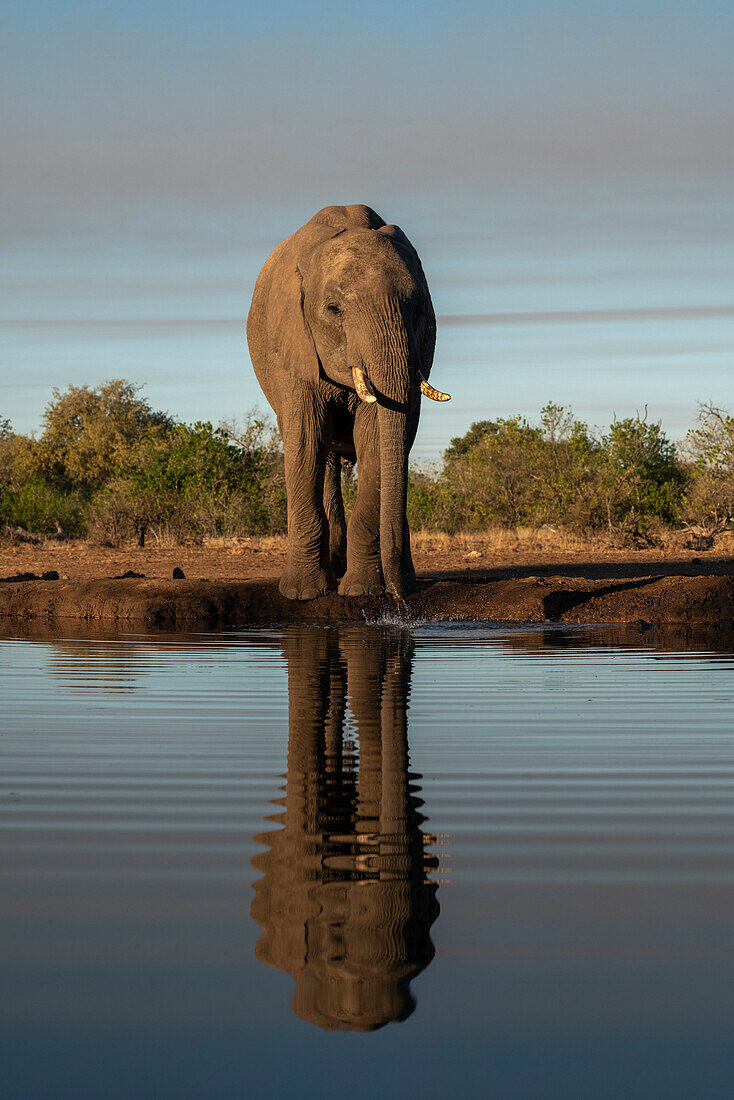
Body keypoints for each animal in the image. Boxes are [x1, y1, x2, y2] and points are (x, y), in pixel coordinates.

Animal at [246, 202, 448, 598]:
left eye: (420, 311)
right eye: (333, 309)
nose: (398, 599)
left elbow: (375, 442)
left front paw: (364, 591)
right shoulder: (292, 343)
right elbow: (306, 442)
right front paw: (302, 594)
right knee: (321, 456)